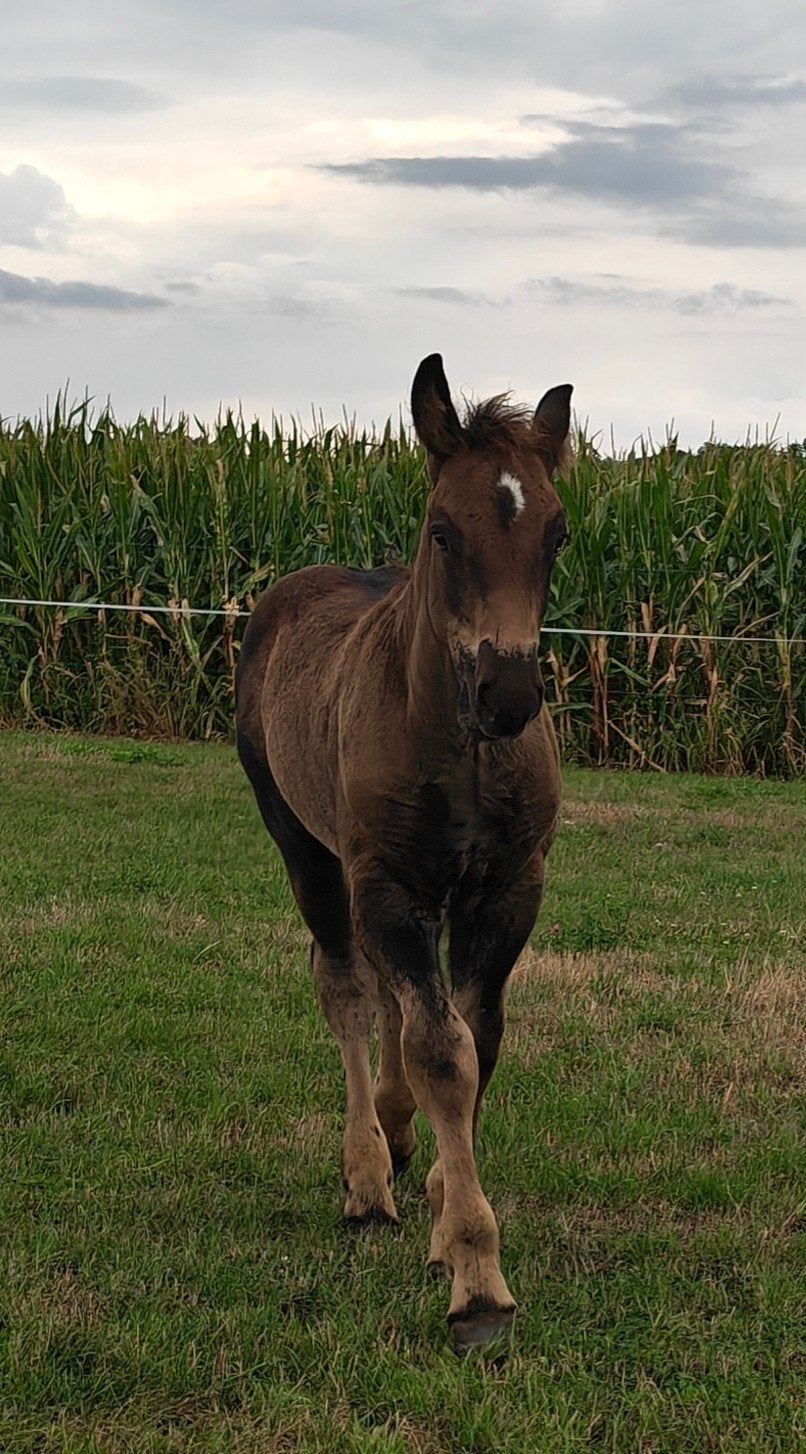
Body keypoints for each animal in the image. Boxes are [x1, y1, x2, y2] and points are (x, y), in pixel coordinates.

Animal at [236, 354, 572, 1351]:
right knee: (346, 984)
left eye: (558, 533)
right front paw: (477, 1280)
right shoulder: (386, 883)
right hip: (307, 846)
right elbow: (441, 1049)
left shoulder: (507, 892)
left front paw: (440, 1203)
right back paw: (365, 1177)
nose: (508, 695)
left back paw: (395, 1136)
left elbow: (477, 1038)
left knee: (384, 994)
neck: (462, 748)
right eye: (442, 531)